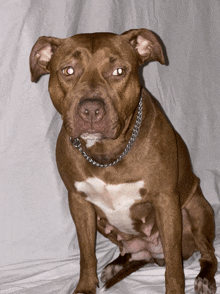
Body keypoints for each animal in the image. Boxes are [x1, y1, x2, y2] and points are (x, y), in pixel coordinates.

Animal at [29, 29, 217, 294]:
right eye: (68, 70)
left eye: (118, 71)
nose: (91, 110)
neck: (107, 154)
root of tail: (152, 255)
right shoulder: (79, 203)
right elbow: (86, 254)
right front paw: (86, 286)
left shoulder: (166, 199)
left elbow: (173, 266)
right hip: (102, 222)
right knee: (128, 251)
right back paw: (117, 264)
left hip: (197, 209)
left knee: (207, 253)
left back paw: (204, 278)